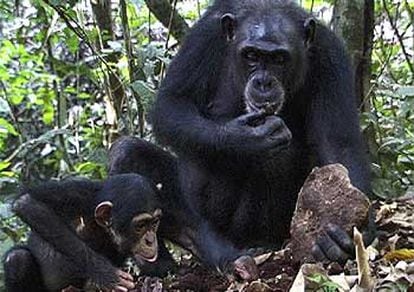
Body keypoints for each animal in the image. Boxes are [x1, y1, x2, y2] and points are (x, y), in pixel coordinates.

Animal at [3, 175, 162, 290]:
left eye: (154, 223)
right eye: (140, 226)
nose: (150, 240)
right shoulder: (76, 192)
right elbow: (26, 202)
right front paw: (107, 274)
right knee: (17, 258)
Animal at [111, 0, 372, 274]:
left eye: (279, 59)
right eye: (251, 56)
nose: (264, 83)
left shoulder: (331, 57)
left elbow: (338, 143)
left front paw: (347, 233)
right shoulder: (203, 37)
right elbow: (172, 104)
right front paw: (245, 140)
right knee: (126, 155)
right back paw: (177, 257)